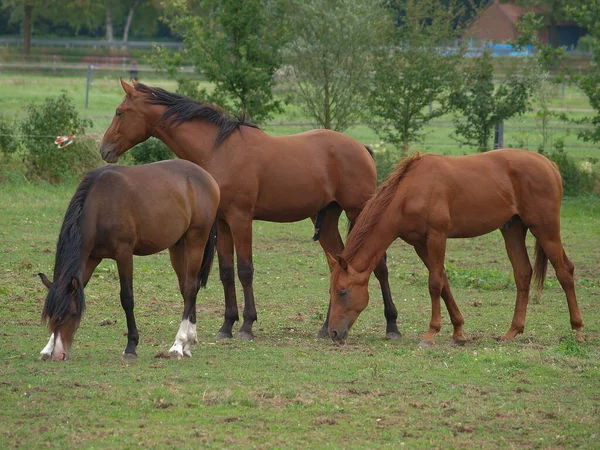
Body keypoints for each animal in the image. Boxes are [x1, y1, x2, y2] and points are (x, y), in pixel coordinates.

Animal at [38, 160, 220, 360]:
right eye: (51, 315)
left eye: (72, 313)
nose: (59, 354)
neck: (101, 204)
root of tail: (208, 178)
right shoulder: (92, 258)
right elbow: (79, 287)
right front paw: (48, 347)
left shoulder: (123, 253)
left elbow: (127, 298)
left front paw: (131, 346)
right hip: (178, 246)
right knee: (187, 288)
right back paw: (188, 342)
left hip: (196, 241)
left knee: (190, 288)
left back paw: (178, 344)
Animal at [97, 80, 398, 342]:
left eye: (119, 112)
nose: (104, 149)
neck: (218, 150)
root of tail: (361, 148)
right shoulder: (222, 222)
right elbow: (226, 271)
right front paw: (227, 325)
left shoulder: (241, 219)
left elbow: (245, 270)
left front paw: (247, 325)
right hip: (327, 221)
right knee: (336, 264)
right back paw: (326, 328)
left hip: (359, 211)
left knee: (380, 265)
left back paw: (392, 325)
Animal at [326, 151, 584, 344]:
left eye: (343, 292)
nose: (333, 333)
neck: (412, 191)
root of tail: (549, 164)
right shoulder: (420, 244)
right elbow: (444, 283)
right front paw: (458, 331)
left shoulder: (437, 237)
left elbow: (434, 284)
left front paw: (431, 333)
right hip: (513, 229)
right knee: (522, 273)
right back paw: (512, 331)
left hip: (545, 229)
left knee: (565, 271)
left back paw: (578, 330)